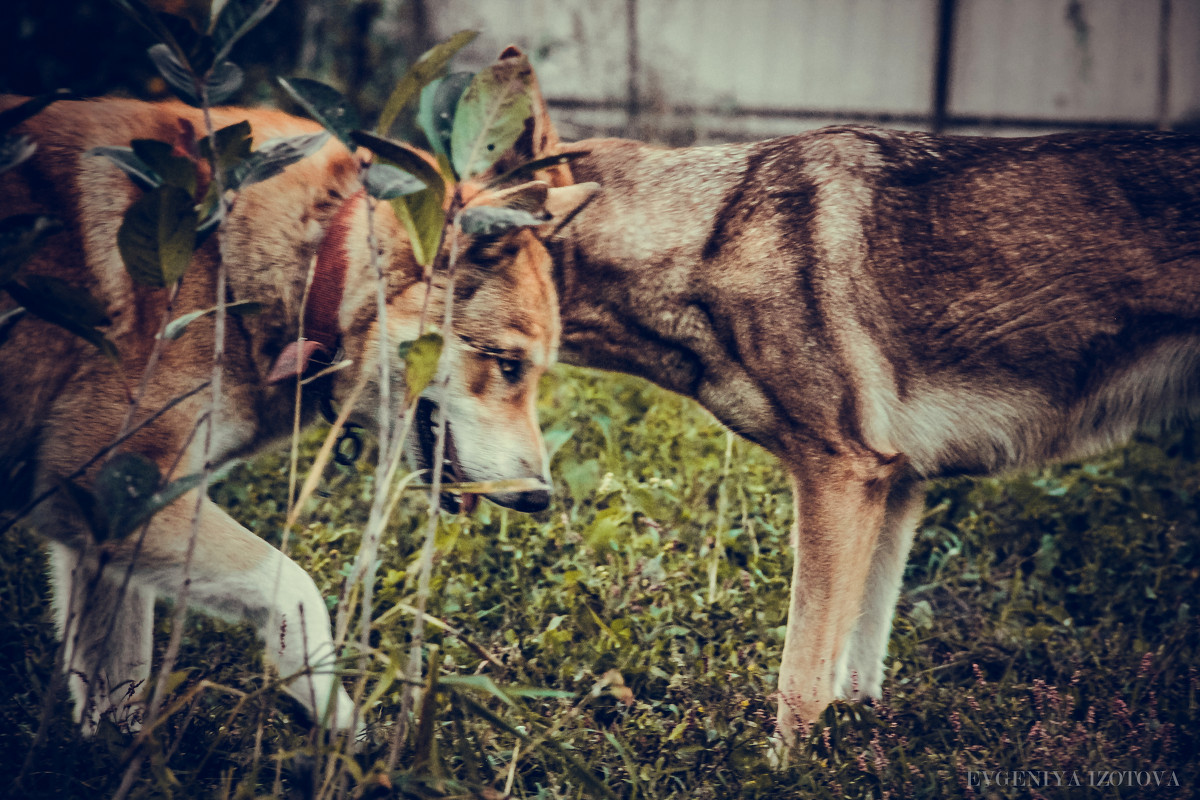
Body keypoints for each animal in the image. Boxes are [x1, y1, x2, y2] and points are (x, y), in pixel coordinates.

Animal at [0, 97, 595, 734]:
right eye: (509, 365)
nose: (539, 498)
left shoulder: (104, 539)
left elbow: (115, 693)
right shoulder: (106, 483)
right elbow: (294, 587)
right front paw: (336, 718)